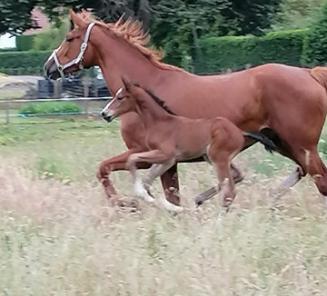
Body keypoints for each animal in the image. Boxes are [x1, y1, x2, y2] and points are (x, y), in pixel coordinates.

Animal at [101, 80, 276, 212]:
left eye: (120, 97)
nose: (104, 113)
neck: (159, 122)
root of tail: (239, 131)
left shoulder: (165, 154)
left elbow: (132, 158)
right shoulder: (168, 160)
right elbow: (147, 180)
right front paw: (165, 205)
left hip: (218, 158)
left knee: (229, 190)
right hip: (212, 157)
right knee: (234, 177)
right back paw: (198, 201)